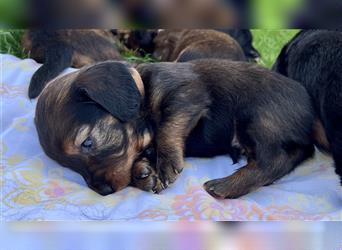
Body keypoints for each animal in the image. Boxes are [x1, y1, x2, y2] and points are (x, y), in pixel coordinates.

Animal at [33, 59, 322, 198]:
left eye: (88, 143)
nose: (103, 191)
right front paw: (143, 173)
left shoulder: (186, 93)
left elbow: (167, 126)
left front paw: (166, 162)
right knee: (294, 156)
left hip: (258, 116)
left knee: (274, 161)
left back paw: (226, 186)